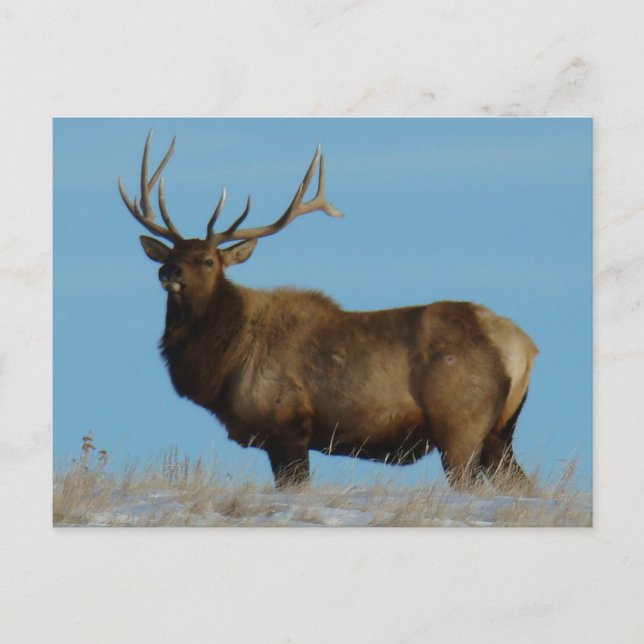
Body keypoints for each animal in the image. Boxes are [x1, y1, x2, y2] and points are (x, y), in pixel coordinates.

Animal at [118, 132, 539, 491]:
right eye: (170, 254)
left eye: (207, 261)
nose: (168, 272)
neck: (224, 367)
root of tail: (525, 348)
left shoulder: (287, 424)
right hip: (500, 430)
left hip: (460, 423)